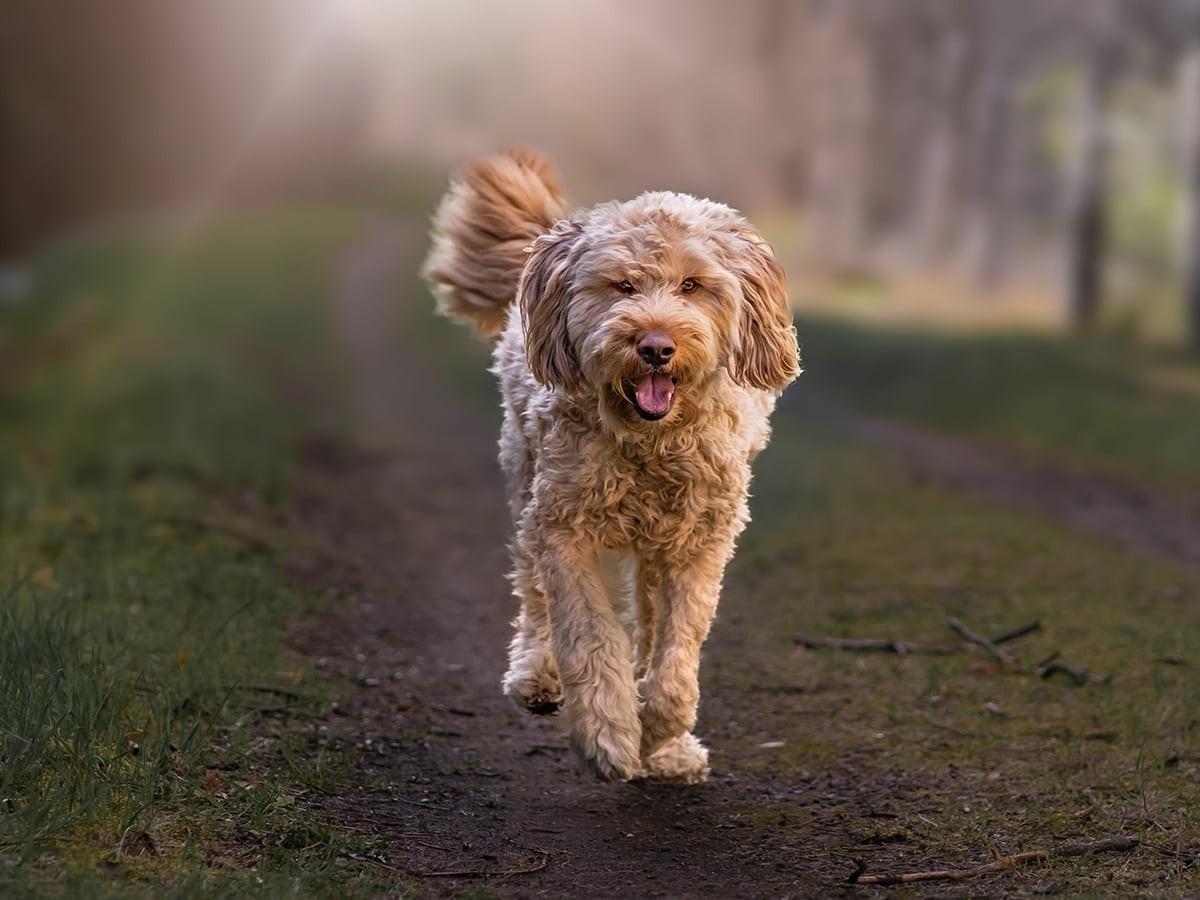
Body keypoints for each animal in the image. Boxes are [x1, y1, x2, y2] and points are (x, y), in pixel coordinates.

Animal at [422, 150, 796, 782]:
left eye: (693, 285)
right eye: (623, 285)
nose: (656, 346)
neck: (649, 445)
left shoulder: (700, 539)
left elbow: (678, 648)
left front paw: (662, 732)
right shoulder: (563, 526)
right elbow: (588, 632)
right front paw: (610, 735)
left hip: (652, 541)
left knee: (646, 616)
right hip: (525, 477)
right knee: (533, 594)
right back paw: (537, 676)